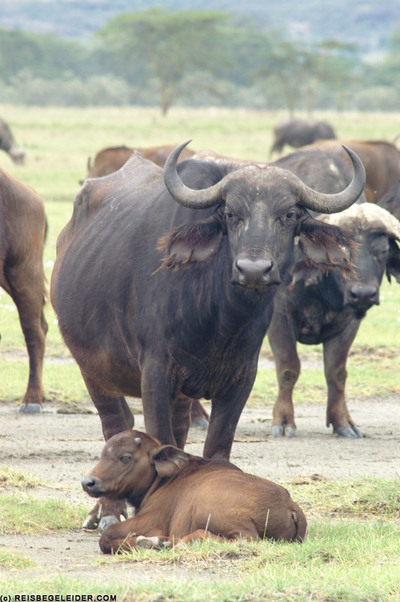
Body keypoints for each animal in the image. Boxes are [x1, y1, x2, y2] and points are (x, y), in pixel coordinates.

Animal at [50, 142, 366, 464]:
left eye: (289, 214)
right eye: (230, 214)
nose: (253, 270)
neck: (220, 321)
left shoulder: (241, 379)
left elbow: (216, 448)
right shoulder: (155, 374)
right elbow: (160, 438)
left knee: (179, 427)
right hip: (92, 369)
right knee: (117, 422)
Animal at [81, 428, 306, 552]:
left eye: (125, 457)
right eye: (103, 454)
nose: (88, 482)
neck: (163, 480)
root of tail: (288, 504)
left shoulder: (152, 519)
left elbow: (106, 535)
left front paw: (150, 542)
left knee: (245, 538)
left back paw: (179, 542)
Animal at [268, 203, 400, 436]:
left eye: (383, 250)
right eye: (341, 252)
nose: (363, 294)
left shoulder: (348, 322)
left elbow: (336, 372)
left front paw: (343, 422)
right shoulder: (279, 315)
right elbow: (288, 368)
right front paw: (283, 421)